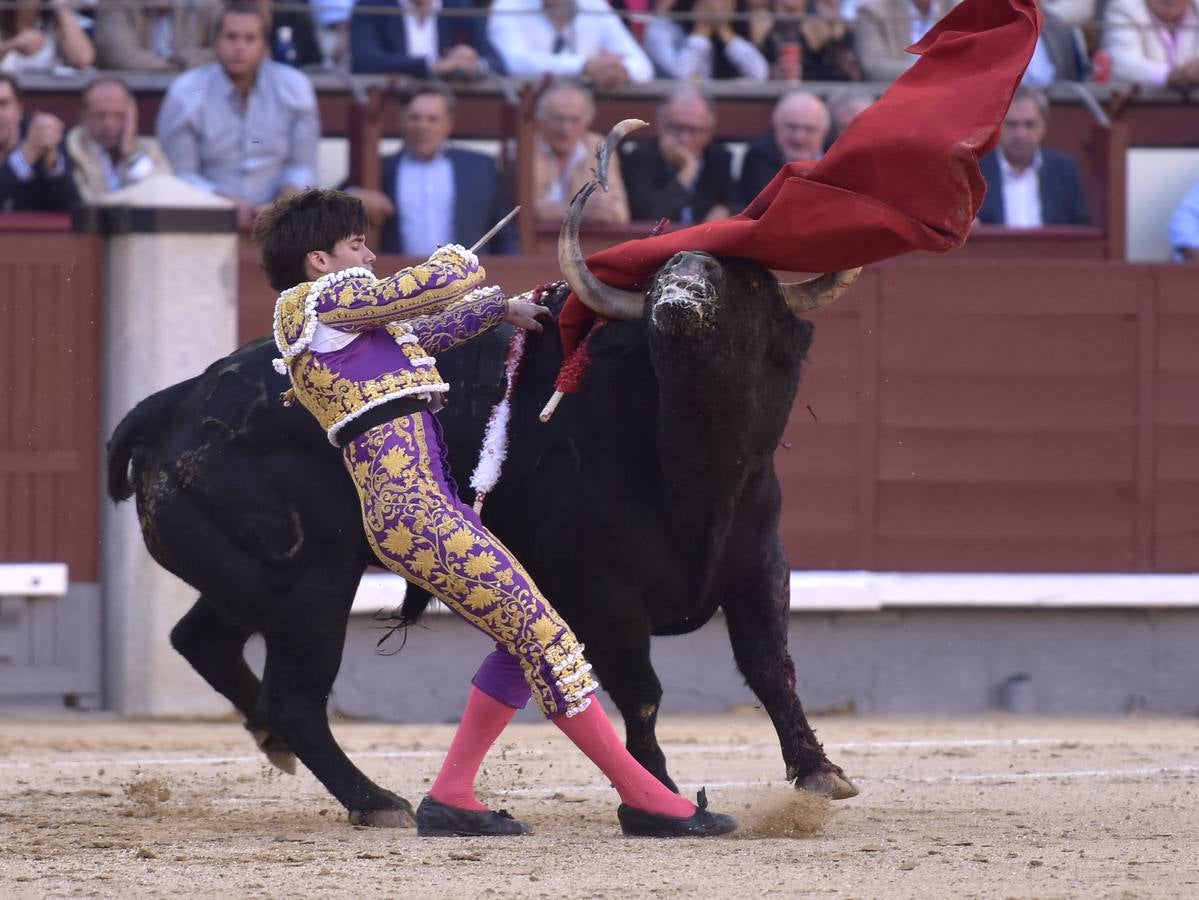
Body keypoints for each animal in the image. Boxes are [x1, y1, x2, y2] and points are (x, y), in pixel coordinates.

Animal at [110, 258, 853, 824]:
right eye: (664, 271)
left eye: (743, 280)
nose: (675, 295)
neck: (691, 465)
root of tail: (174, 403)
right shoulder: (600, 587)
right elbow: (639, 689)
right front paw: (659, 793)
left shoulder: (758, 562)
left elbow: (771, 665)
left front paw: (819, 771)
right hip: (309, 590)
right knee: (293, 699)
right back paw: (376, 800)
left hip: (254, 578)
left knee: (202, 640)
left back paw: (287, 751)